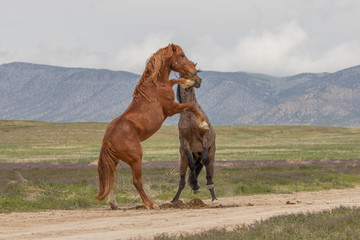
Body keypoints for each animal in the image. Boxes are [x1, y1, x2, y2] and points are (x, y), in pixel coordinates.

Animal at [95, 44, 208, 209]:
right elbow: (190, 106)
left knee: (111, 180)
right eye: (182, 55)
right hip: (136, 159)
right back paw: (151, 204)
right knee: (136, 181)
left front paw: (187, 82)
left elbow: (173, 79)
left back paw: (114, 204)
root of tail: (107, 139)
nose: (195, 74)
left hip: (115, 160)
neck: (155, 86)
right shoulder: (171, 109)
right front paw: (203, 123)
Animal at [172, 72, 217, 202]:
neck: (190, 116)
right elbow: (192, 165)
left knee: (209, 168)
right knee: (182, 181)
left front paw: (208, 186)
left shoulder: (204, 138)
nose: (198, 81)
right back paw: (174, 199)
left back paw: (213, 196)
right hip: (183, 160)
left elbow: (206, 160)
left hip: (211, 154)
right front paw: (196, 187)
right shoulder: (186, 142)